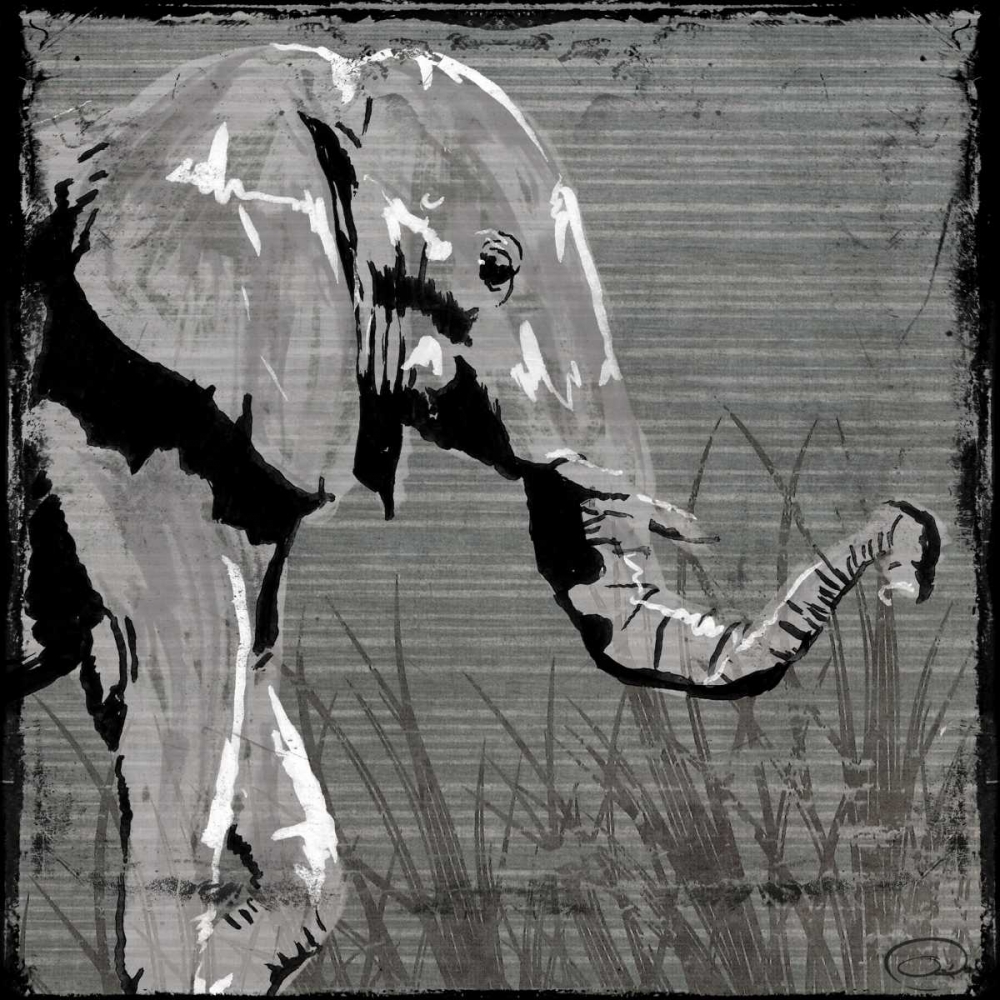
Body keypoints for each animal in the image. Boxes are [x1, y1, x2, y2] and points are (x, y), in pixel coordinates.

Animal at [20, 43, 943, 993]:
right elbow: (191, 674)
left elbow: (233, 677)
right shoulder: (116, 404)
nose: (911, 556)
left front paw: (235, 958)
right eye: (495, 269)